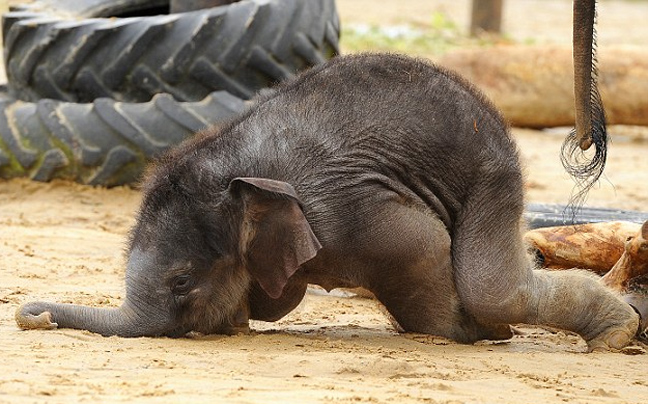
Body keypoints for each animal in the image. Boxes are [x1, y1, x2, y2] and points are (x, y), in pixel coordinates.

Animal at [13, 52, 636, 350]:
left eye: (181, 282)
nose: (28, 315)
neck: (238, 165)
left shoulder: (351, 210)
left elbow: (420, 246)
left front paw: (472, 333)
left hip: (493, 173)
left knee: (492, 286)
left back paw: (617, 332)